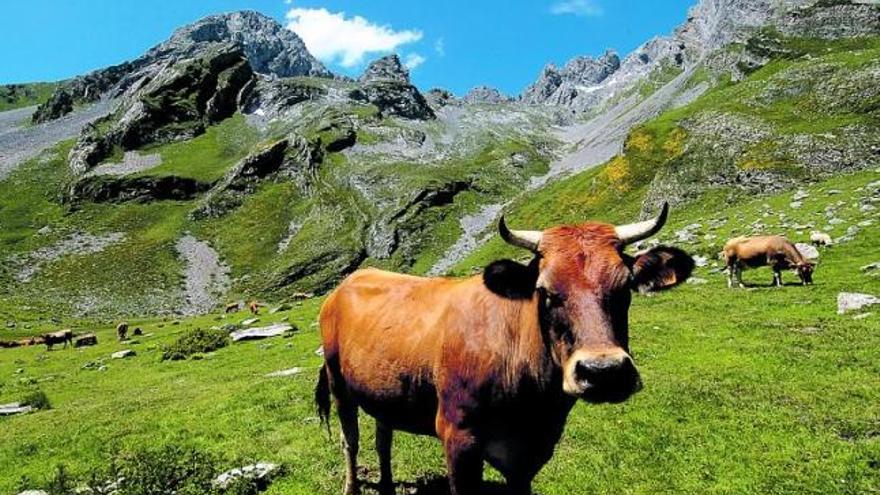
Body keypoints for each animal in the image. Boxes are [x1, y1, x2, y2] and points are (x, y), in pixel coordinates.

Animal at [316, 202, 696, 495]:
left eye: (626, 286)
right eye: (545, 291)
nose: (604, 373)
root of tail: (350, 281)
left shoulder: (531, 452)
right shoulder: (457, 438)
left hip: (385, 389)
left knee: (384, 437)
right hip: (338, 382)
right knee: (350, 439)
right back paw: (351, 487)